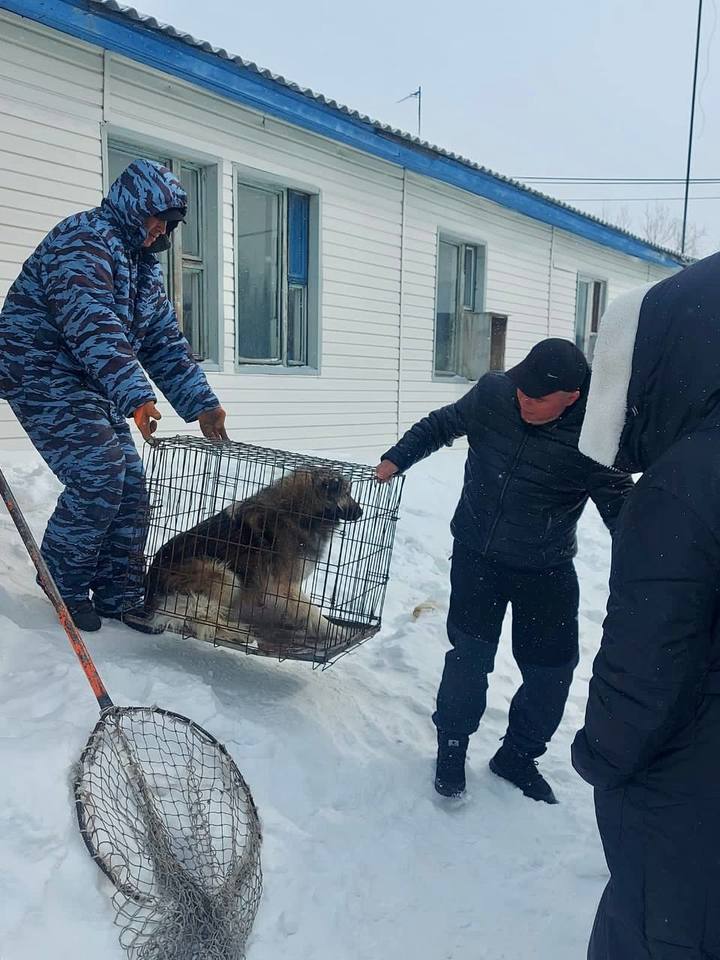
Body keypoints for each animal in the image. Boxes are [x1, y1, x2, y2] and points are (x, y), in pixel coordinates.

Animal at [146, 466, 362, 652]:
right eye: (346, 493)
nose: (361, 512)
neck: (298, 512)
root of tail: (151, 586)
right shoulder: (281, 585)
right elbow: (311, 609)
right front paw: (334, 630)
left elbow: (298, 608)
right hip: (224, 575)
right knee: (203, 618)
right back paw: (238, 632)